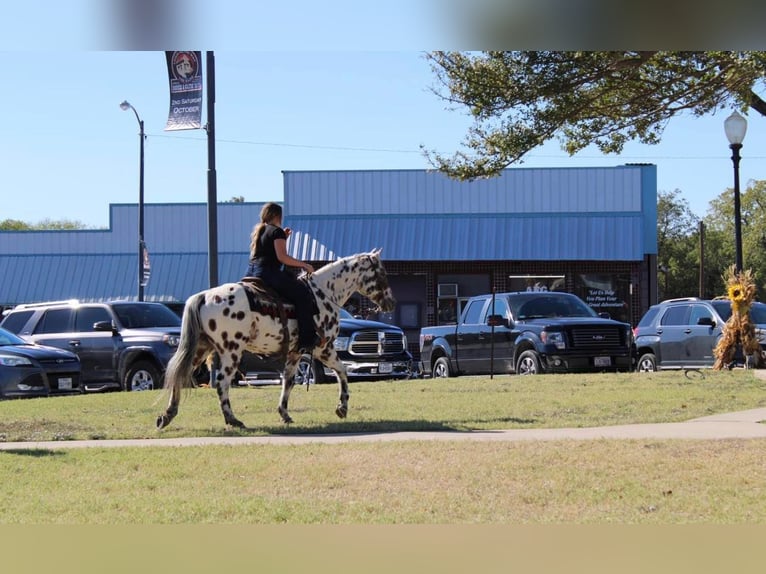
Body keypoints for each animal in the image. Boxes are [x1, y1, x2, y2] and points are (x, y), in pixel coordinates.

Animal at [156, 250, 396, 430]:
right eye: (381, 272)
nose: (390, 303)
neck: (323, 294)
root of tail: (204, 296)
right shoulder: (324, 349)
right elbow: (342, 371)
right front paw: (342, 408)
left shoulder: (296, 352)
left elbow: (288, 380)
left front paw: (284, 414)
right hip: (230, 351)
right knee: (222, 383)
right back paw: (233, 420)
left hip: (201, 348)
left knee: (181, 374)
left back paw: (166, 416)